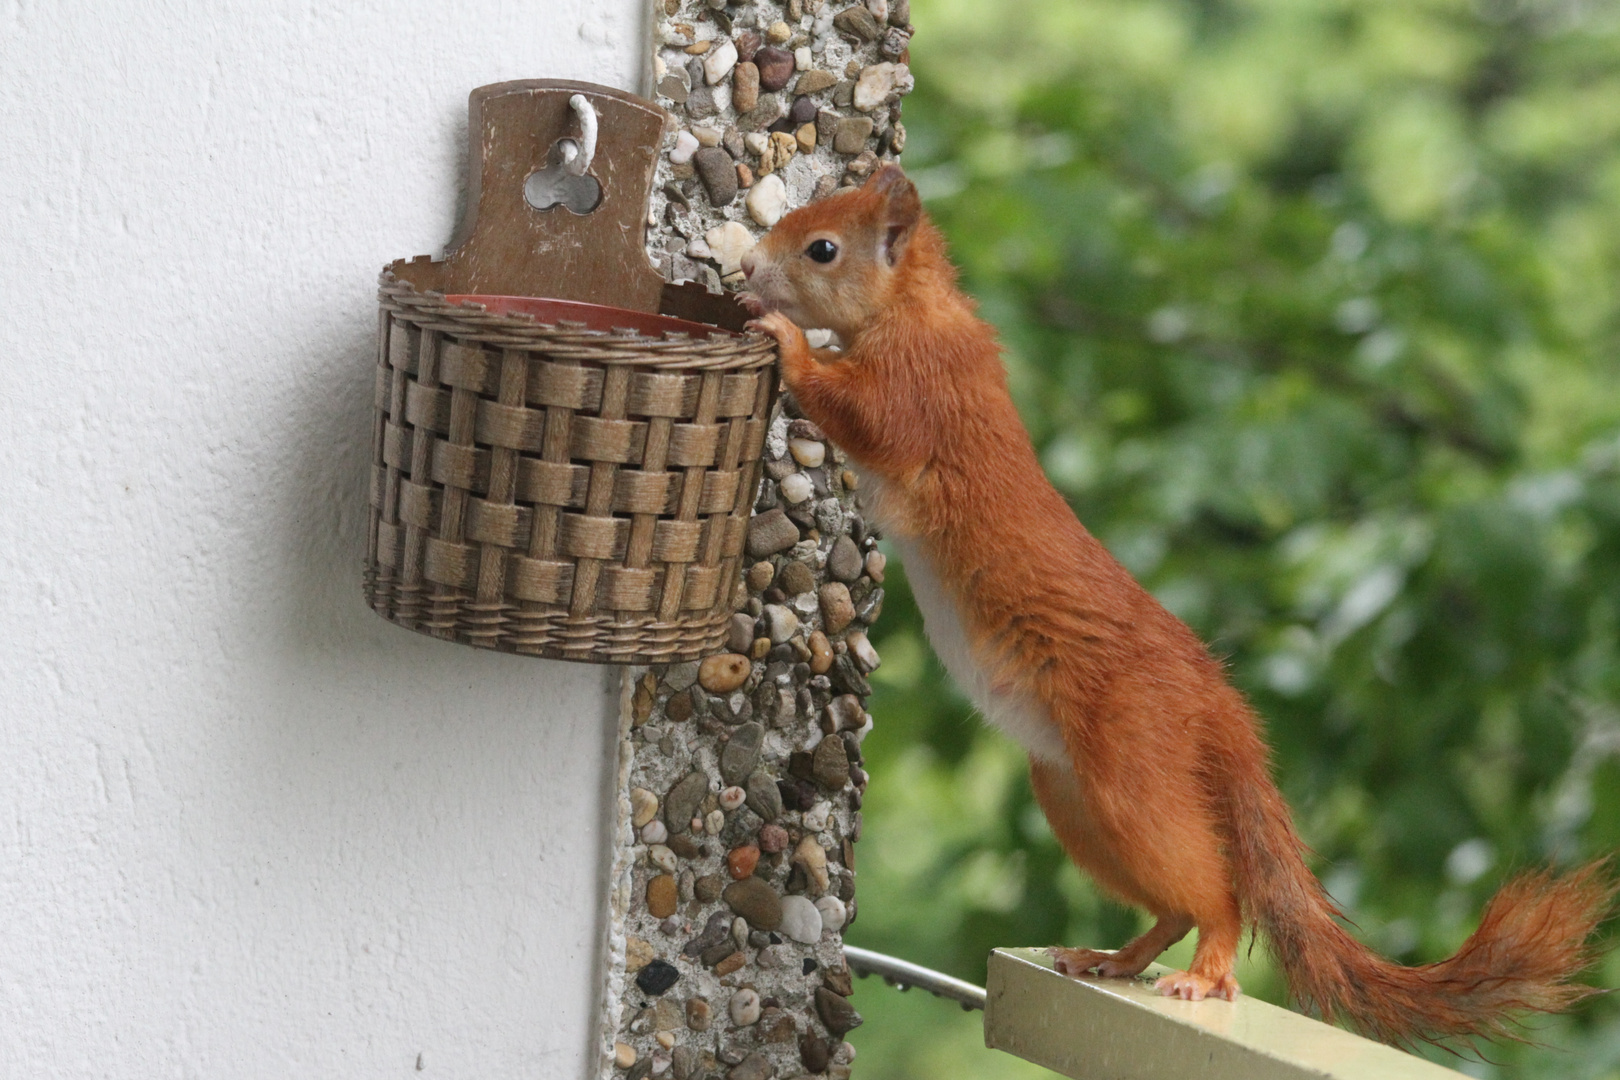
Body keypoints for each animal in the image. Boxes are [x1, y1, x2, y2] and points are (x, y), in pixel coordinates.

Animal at [741, 166, 1613, 1049]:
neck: (914, 307)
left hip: (1131, 772)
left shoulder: (921, 388)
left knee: (1215, 896)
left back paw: (1205, 971)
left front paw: (784, 336)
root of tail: (1212, 702)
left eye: (823, 249)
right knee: (1172, 904)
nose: (747, 268)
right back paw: (1112, 959)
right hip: (1075, 796)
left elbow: (866, 418)